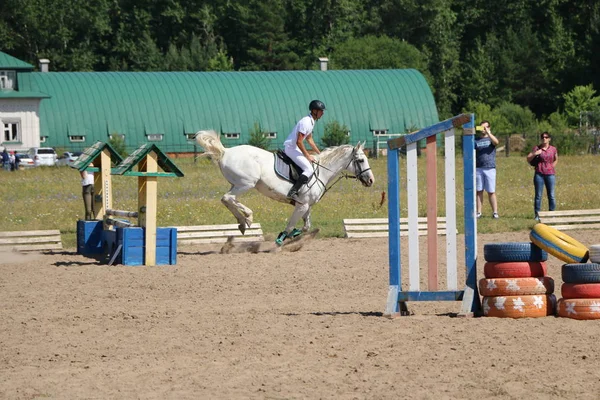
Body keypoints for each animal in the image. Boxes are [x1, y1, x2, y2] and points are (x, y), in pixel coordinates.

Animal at [197, 130, 376, 244]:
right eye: (361, 160)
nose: (371, 180)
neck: (322, 171)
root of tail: (226, 151)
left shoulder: (305, 205)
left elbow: (306, 226)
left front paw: (294, 234)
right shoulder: (301, 205)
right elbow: (291, 224)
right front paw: (281, 238)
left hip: (236, 184)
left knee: (227, 199)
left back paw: (242, 222)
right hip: (246, 183)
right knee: (228, 198)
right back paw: (247, 217)